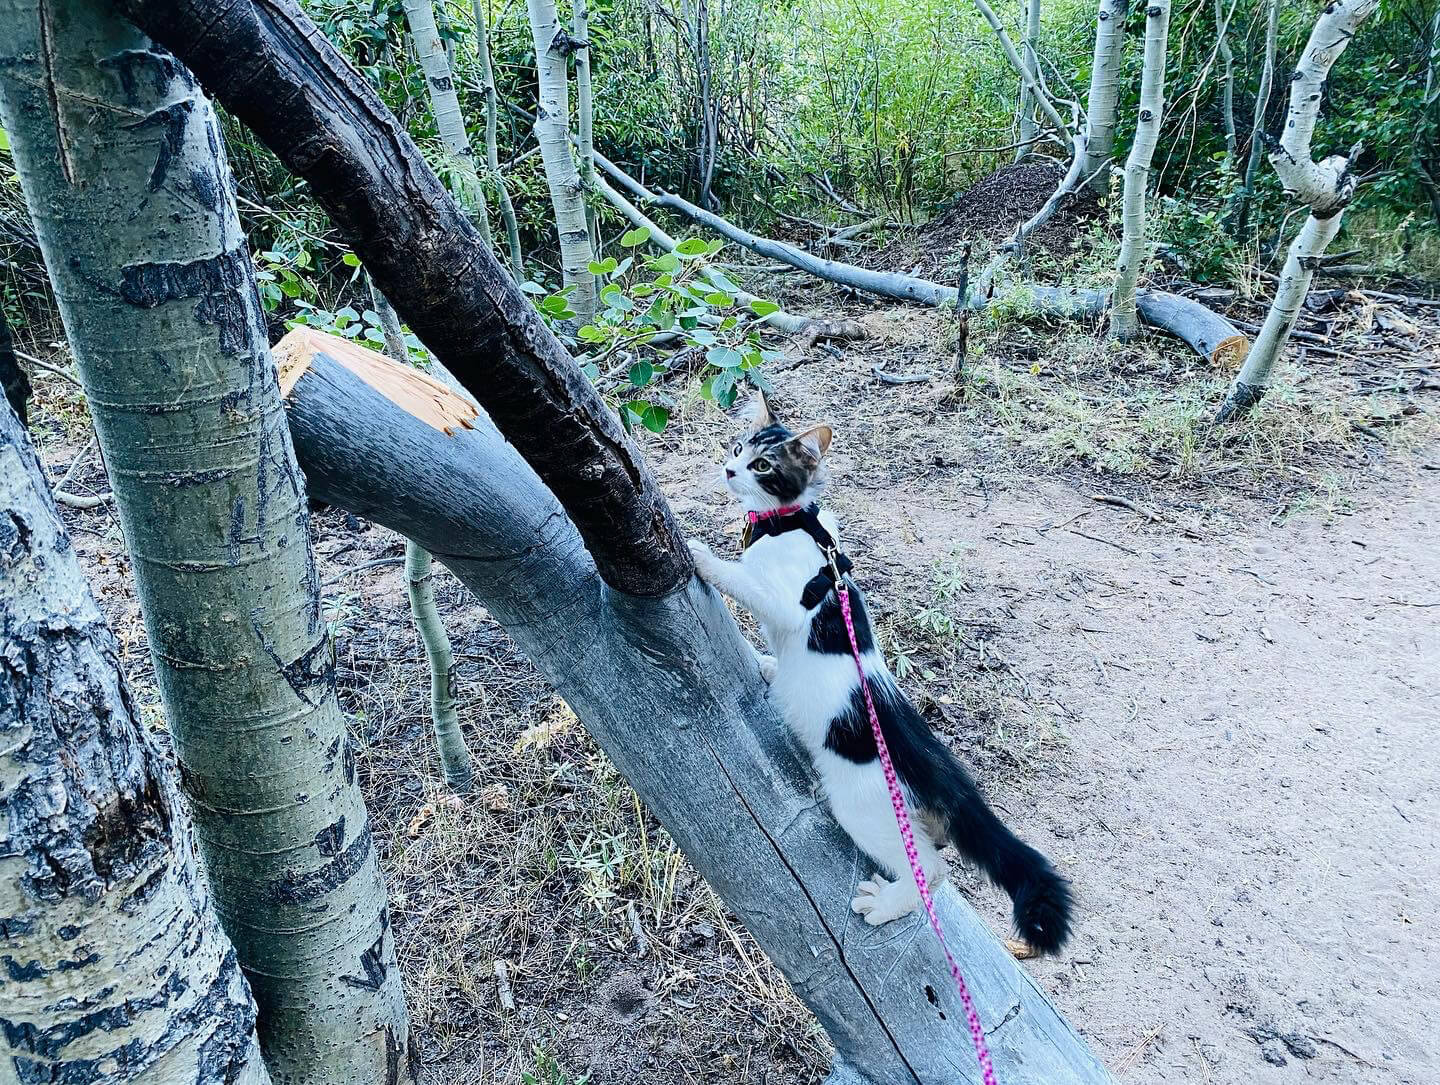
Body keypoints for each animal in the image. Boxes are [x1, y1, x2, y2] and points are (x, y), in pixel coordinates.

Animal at [691, 394, 1077, 950]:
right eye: (738, 447)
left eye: (762, 465)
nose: (728, 469)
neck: (791, 523)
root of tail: (946, 770)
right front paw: (768, 664)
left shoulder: (785, 601)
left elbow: (744, 582)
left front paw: (703, 557)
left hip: (864, 808)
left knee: (933, 871)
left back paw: (886, 903)